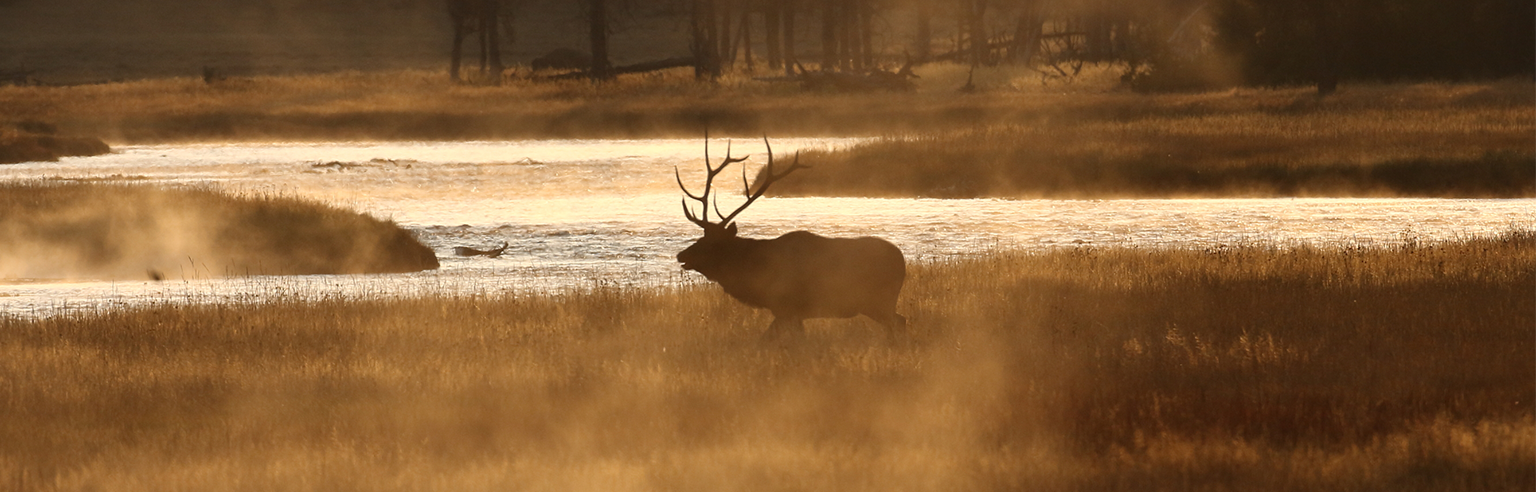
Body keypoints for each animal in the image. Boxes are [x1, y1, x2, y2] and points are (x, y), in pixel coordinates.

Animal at [675, 137, 907, 340]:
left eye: (712, 243)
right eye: (701, 237)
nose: (680, 255)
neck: (755, 272)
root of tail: (902, 261)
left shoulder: (787, 307)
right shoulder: (787, 312)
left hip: (879, 300)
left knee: (899, 322)